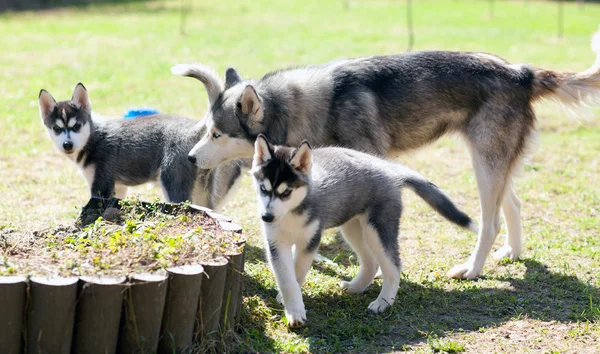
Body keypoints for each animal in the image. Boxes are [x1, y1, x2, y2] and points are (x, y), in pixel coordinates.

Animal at [38, 83, 245, 221]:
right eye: (57, 129)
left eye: (76, 126)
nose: (67, 144)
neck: (93, 137)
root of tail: (194, 128)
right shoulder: (117, 187)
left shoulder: (100, 186)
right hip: (202, 187)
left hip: (172, 181)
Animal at [172, 30, 600, 280]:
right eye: (206, 129)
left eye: (217, 133)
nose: (189, 159)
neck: (308, 108)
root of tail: (522, 72)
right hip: (492, 163)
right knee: (512, 204)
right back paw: (512, 252)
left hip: (485, 164)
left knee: (489, 221)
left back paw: (472, 269)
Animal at [248, 135, 474, 326]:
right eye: (263, 189)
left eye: (286, 192)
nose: (266, 217)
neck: (291, 213)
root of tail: (390, 168)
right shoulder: (276, 243)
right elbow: (287, 279)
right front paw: (291, 307)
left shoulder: (311, 240)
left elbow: (297, 272)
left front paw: (295, 310)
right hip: (353, 229)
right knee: (371, 263)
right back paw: (355, 287)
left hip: (377, 230)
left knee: (393, 266)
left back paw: (383, 302)